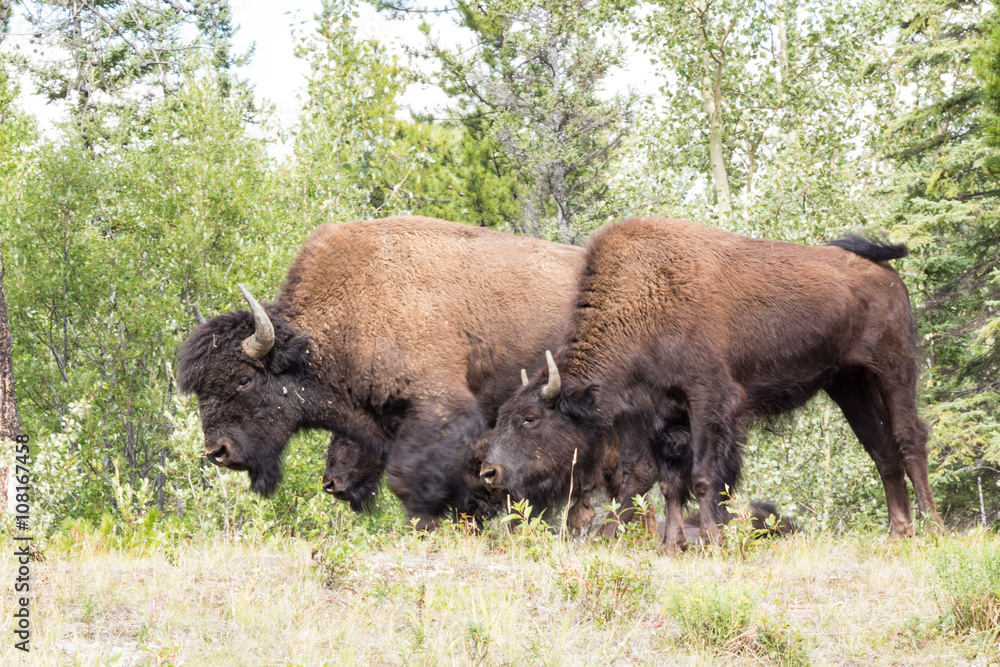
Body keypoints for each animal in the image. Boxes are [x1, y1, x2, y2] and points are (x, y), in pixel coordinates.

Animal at [480, 217, 940, 552]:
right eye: (502, 416)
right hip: (848, 383)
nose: (490, 471)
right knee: (881, 450)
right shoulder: (657, 415)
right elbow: (662, 480)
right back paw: (899, 531)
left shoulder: (709, 402)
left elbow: (703, 477)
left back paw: (933, 528)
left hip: (893, 369)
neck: (644, 301)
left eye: (531, 418)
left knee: (909, 439)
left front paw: (712, 543)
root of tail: (884, 270)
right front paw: (671, 545)